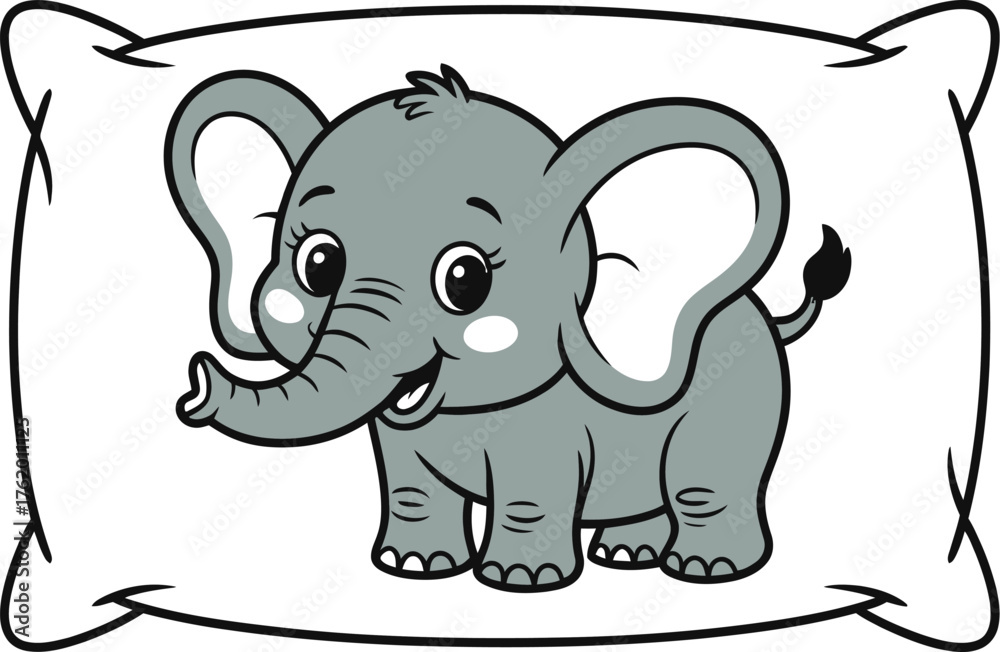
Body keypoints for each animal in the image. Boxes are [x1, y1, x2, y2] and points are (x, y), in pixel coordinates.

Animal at [167, 65, 851, 592]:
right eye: (318, 264)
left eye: (464, 278)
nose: (197, 384)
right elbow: (411, 483)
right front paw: (413, 567)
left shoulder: (546, 422)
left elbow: (530, 487)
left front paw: (521, 583)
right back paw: (627, 555)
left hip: (744, 395)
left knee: (705, 483)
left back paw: (705, 570)